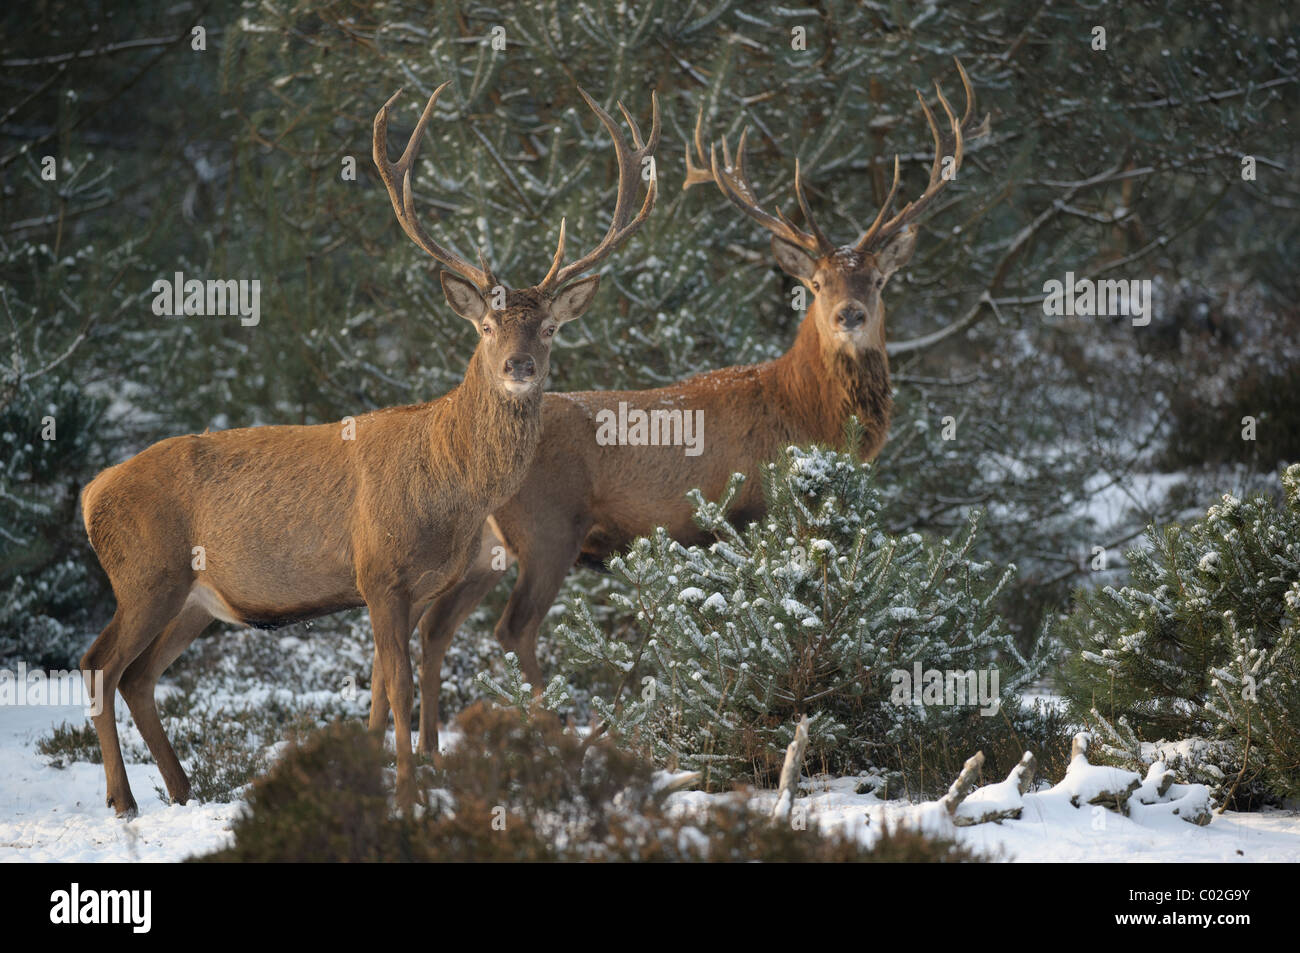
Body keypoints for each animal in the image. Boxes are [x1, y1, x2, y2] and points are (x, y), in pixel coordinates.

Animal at [78, 83, 660, 811]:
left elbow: (400, 677)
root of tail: (89, 493)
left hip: (192, 598)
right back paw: (124, 800)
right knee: (99, 663)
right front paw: (408, 793)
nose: (520, 366)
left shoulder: (413, 584)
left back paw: (183, 791)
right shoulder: (378, 572)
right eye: (488, 325)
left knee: (137, 676)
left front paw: (407, 777)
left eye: (549, 327)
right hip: (144, 572)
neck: (446, 484)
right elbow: (399, 683)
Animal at [371, 63, 987, 754]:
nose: (849, 315)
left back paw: (419, 750)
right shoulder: (767, 507)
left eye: (878, 281)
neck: (805, 411)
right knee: (509, 629)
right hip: (546, 527)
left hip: (480, 546)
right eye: (817, 283)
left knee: (424, 627)